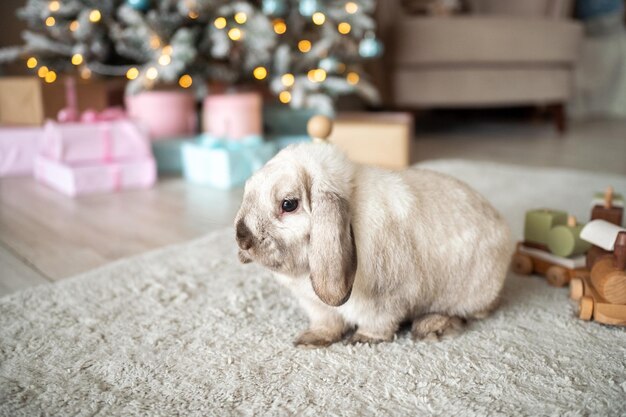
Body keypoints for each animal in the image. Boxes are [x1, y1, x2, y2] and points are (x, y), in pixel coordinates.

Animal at [234, 144, 512, 348]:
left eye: (288, 204)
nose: (242, 238)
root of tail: (502, 228)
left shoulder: (385, 301)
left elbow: (378, 323)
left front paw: (363, 340)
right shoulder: (318, 308)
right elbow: (327, 324)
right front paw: (310, 340)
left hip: (469, 293)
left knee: (468, 314)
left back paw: (431, 327)